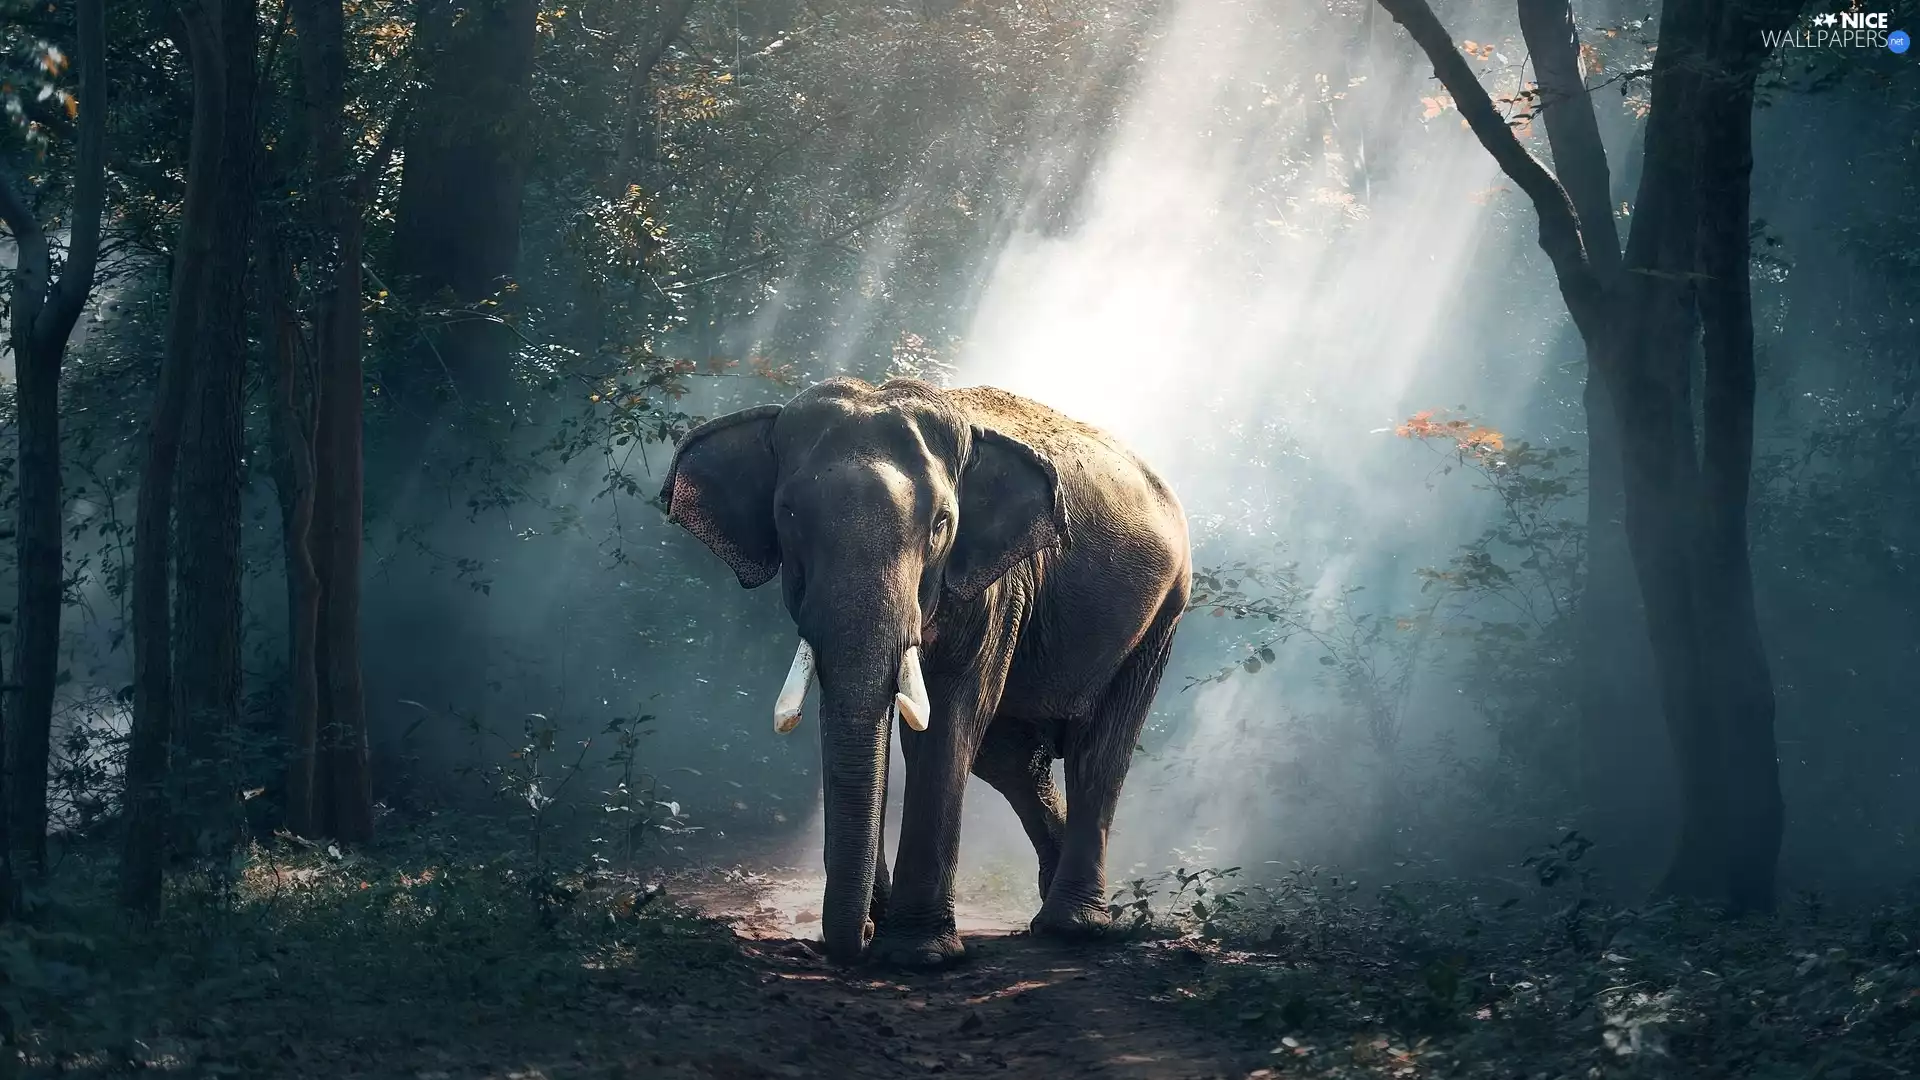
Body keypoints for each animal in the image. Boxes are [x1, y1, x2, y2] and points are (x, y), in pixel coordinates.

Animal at [659, 376, 1191, 968]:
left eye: (941, 524)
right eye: (788, 514)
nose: (857, 941)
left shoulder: (994, 586)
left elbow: (947, 722)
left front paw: (918, 955)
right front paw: (883, 928)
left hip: (1162, 614)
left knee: (1098, 753)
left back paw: (1073, 928)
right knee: (1010, 759)